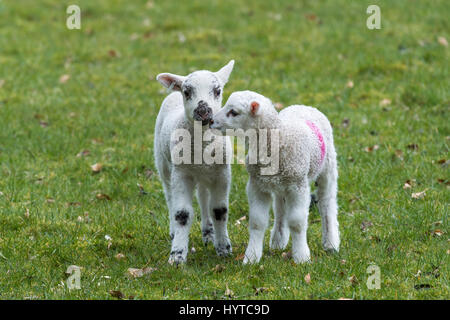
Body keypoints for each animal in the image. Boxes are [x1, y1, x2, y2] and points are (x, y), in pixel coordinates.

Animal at [153, 60, 234, 264]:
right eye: (187, 92)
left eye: (217, 90)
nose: (203, 111)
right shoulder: (182, 173)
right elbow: (182, 214)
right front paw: (177, 256)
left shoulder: (222, 173)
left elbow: (219, 210)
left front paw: (224, 249)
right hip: (164, 164)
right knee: (169, 196)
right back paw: (174, 233)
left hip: (205, 174)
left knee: (203, 197)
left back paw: (208, 233)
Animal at [209, 89, 340, 262]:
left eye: (234, 112)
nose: (210, 121)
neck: (277, 140)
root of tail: (304, 105)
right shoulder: (256, 185)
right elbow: (257, 222)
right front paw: (251, 258)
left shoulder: (298, 185)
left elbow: (297, 222)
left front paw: (302, 257)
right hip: (280, 184)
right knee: (280, 209)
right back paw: (278, 240)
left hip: (327, 168)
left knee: (327, 203)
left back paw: (331, 243)